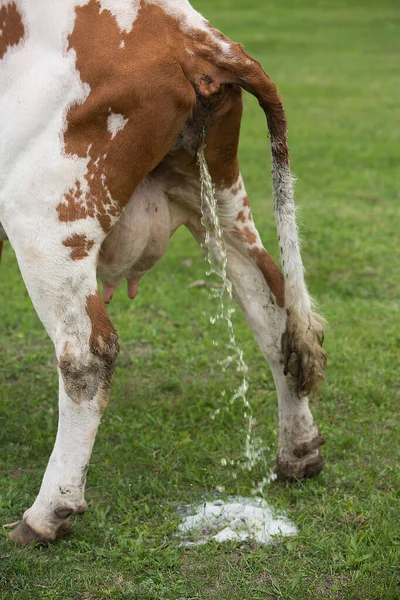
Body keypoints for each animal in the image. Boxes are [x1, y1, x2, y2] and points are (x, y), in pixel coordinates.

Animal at [0, 0, 324, 548]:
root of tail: (190, 32)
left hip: (44, 215)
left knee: (86, 353)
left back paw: (46, 513)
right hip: (217, 196)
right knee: (275, 311)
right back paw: (299, 451)